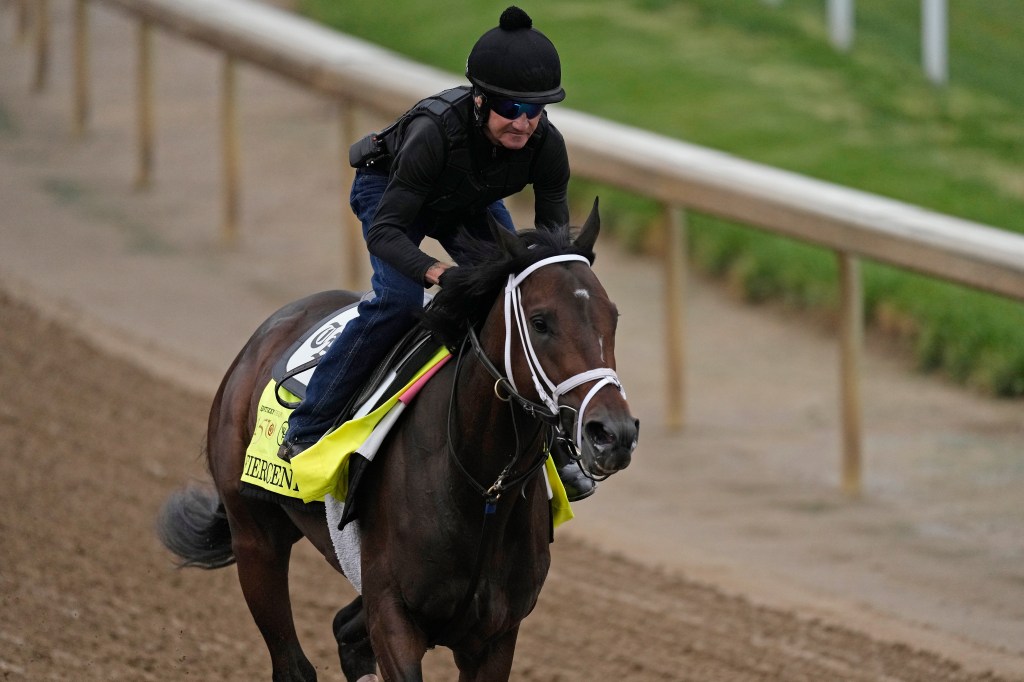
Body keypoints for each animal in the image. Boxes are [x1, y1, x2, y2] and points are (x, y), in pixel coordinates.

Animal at [157, 201, 638, 679]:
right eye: (540, 322)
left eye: (613, 317)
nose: (613, 434)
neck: (482, 489)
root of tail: (262, 338)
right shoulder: (393, 616)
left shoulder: (495, 634)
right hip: (256, 539)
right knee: (293, 663)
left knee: (343, 631)